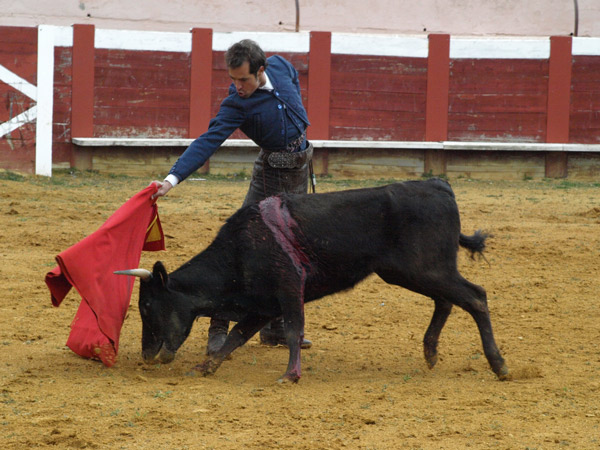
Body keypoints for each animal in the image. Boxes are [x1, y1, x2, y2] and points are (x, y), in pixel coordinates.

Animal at [116, 178, 506, 382]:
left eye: (147, 307)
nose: (147, 356)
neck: (241, 248)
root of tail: (438, 185)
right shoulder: (262, 305)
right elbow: (237, 336)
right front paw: (208, 365)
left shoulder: (289, 291)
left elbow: (292, 330)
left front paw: (290, 375)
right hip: (418, 272)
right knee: (446, 300)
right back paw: (430, 353)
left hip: (425, 270)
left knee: (475, 296)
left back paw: (499, 365)